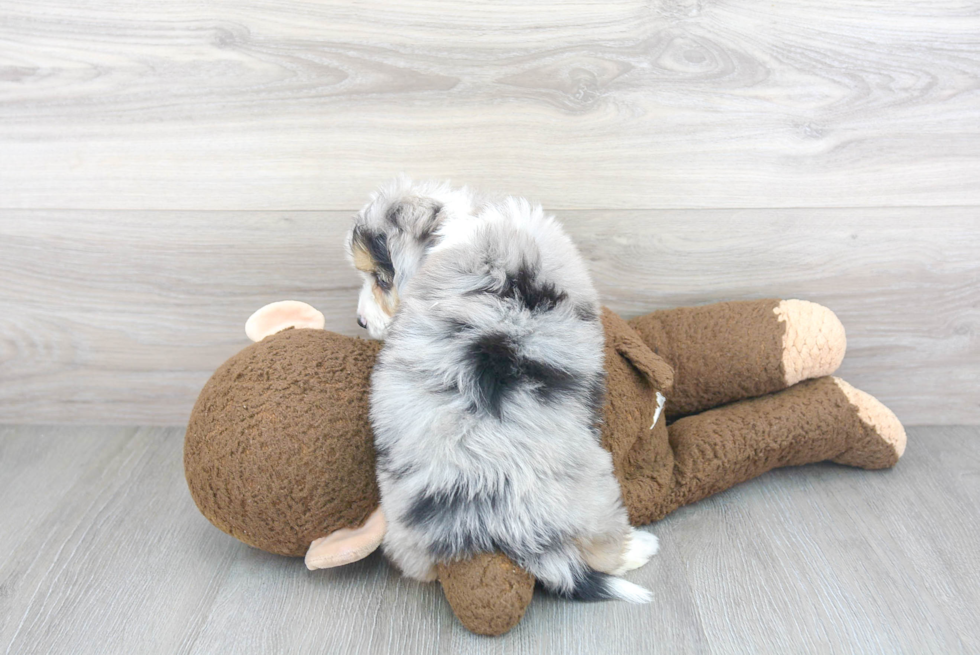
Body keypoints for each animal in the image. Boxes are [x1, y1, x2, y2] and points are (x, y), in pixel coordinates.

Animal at [344, 177, 660, 604]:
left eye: (381, 280)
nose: (360, 322)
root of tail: (503, 527)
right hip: (597, 488)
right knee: (600, 550)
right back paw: (639, 547)